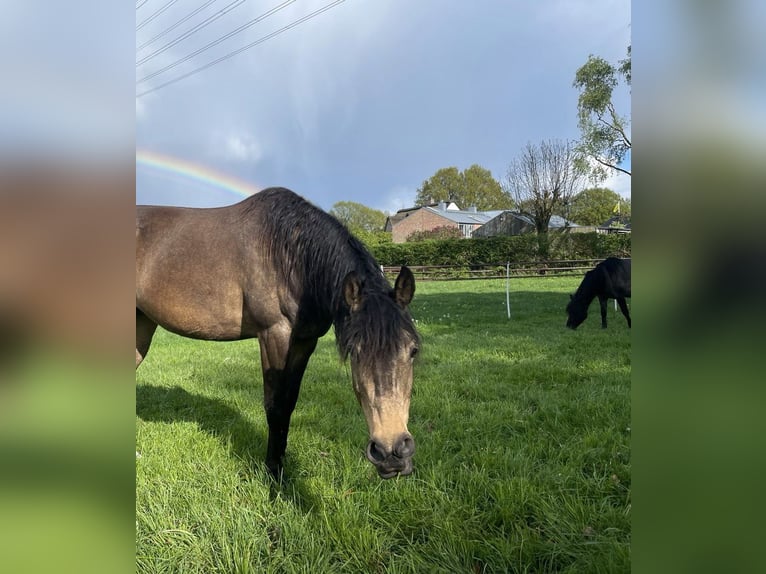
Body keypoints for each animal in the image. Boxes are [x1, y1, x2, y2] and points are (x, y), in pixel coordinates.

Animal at [136, 188, 420, 479]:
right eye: (355, 351)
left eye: (413, 350)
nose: (391, 452)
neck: (292, 256)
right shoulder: (274, 336)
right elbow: (276, 406)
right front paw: (274, 472)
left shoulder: (305, 342)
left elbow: (289, 403)